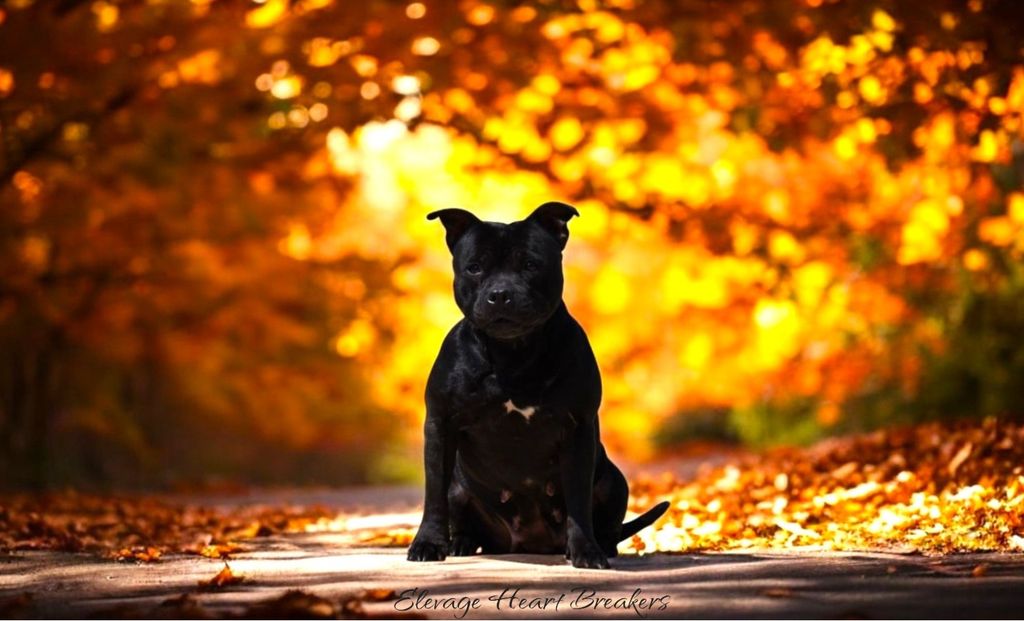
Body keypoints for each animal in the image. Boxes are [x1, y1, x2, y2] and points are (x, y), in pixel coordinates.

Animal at [407, 202, 671, 569]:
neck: (511, 354)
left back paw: (600, 546)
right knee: (459, 513)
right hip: (459, 488)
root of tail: (530, 543)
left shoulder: (577, 429)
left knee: (608, 524)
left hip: (614, 481)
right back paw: (461, 543)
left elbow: (577, 499)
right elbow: (433, 496)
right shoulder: (440, 425)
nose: (500, 294)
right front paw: (428, 543)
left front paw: (585, 550)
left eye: (531, 265)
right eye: (474, 268)